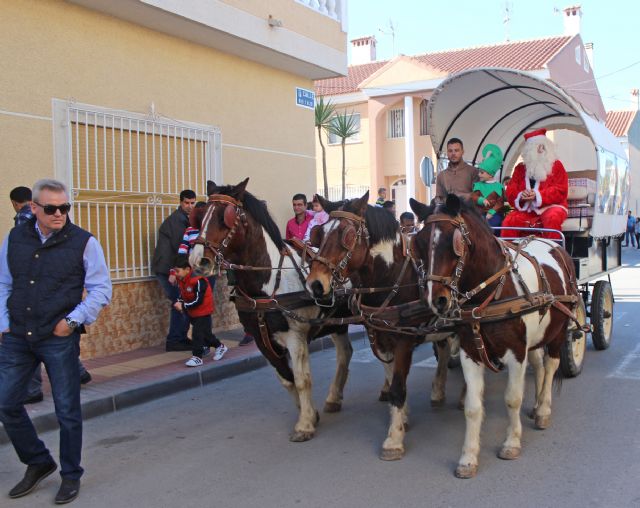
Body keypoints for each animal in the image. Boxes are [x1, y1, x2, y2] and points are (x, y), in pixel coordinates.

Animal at [190, 181, 356, 442]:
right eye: (201, 215)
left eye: (224, 217)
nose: (198, 261)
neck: (267, 280)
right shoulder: (262, 339)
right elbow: (287, 379)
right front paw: (311, 415)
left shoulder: (295, 337)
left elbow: (301, 379)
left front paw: (304, 425)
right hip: (337, 322)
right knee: (344, 354)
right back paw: (333, 398)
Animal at [306, 191, 452, 460]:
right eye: (319, 234)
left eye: (347, 236)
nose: (316, 284)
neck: (392, 278)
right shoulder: (379, 335)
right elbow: (392, 376)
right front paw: (402, 417)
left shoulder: (404, 339)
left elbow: (397, 386)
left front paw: (393, 440)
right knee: (445, 349)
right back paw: (438, 391)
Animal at [410, 193, 580, 476]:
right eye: (419, 244)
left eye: (454, 242)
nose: (438, 300)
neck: (491, 293)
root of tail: (550, 243)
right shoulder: (470, 353)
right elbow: (472, 407)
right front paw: (468, 457)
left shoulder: (516, 354)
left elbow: (512, 398)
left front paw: (511, 443)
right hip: (535, 338)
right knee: (539, 365)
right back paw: (536, 406)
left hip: (558, 331)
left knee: (551, 366)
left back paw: (543, 409)